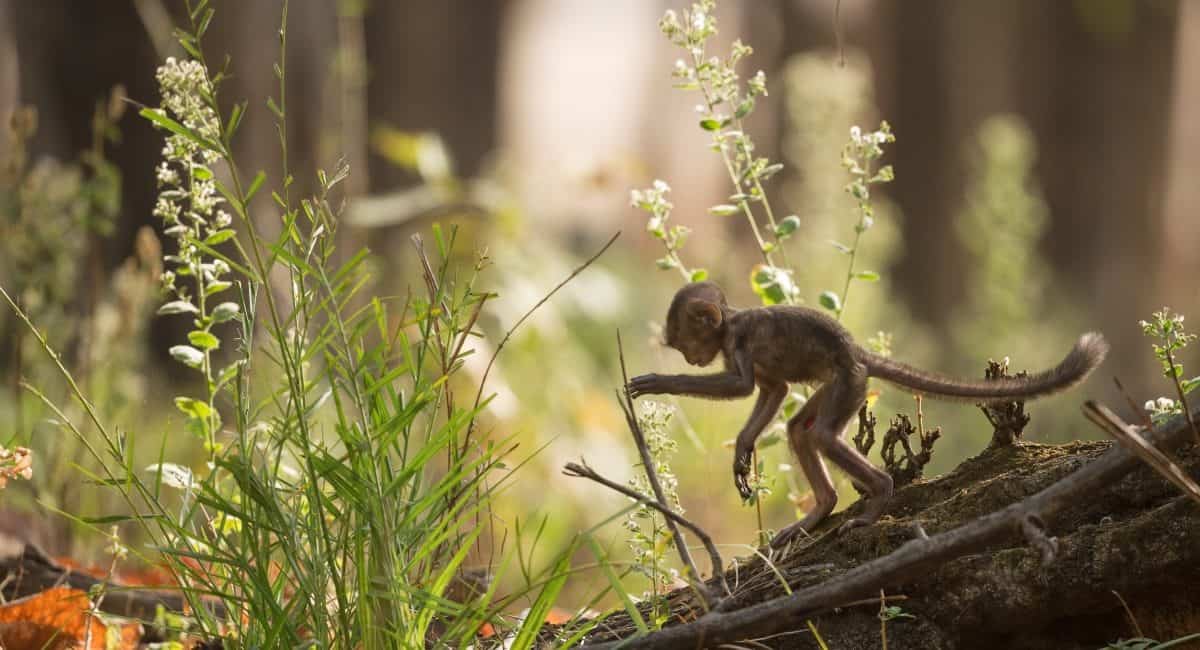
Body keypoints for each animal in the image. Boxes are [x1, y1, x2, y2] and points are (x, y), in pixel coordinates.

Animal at [628, 282, 1109, 547]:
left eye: (685, 343)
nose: (689, 359)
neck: (729, 324)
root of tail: (856, 353)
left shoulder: (739, 342)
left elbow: (744, 387)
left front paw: (660, 381)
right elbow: (773, 390)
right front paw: (744, 449)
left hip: (849, 382)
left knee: (822, 435)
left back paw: (879, 494)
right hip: (845, 384)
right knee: (801, 430)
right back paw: (821, 509)